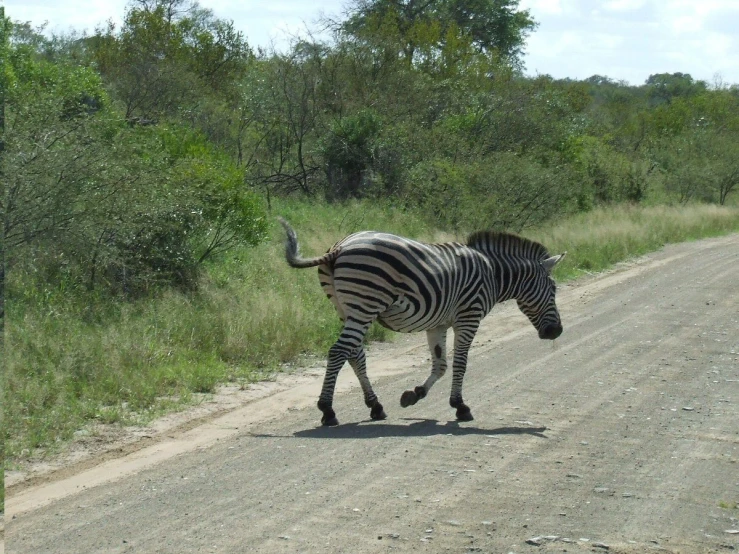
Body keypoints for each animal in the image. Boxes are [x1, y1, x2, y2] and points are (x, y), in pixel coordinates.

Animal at [278, 218, 568, 424]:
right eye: (554, 289)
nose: (557, 332)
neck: (493, 273)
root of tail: (340, 246)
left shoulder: (437, 324)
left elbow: (441, 365)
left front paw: (414, 395)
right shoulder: (468, 317)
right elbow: (460, 363)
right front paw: (460, 406)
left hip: (347, 308)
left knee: (355, 354)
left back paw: (376, 406)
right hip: (365, 304)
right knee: (339, 352)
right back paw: (327, 410)